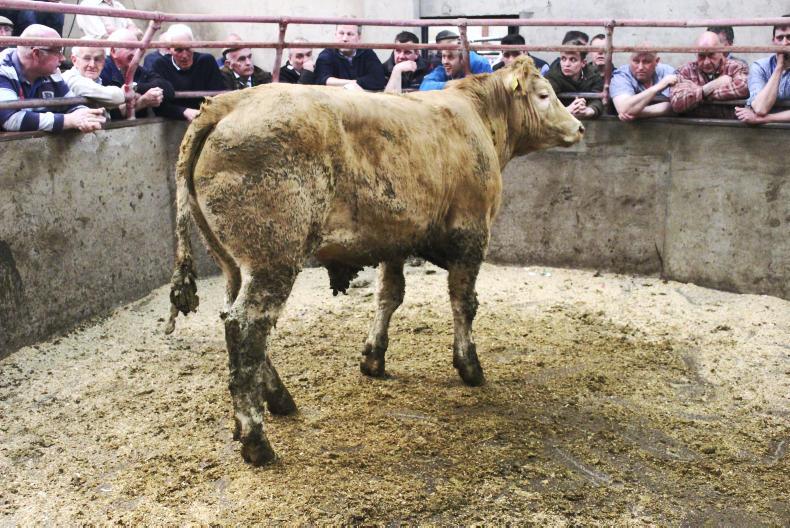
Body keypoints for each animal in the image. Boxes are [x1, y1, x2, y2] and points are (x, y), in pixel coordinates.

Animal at [165, 56, 584, 465]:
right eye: (544, 95)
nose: (579, 126)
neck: (476, 117)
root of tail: (228, 103)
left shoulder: (394, 241)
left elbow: (389, 296)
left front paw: (373, 358)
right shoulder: (471, 233)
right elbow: (463, 303)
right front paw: (469, 365)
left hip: (234, 264)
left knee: (238, 322)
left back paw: (279, 400)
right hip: (273, 259)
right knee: (246, 327)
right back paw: (256, 438)